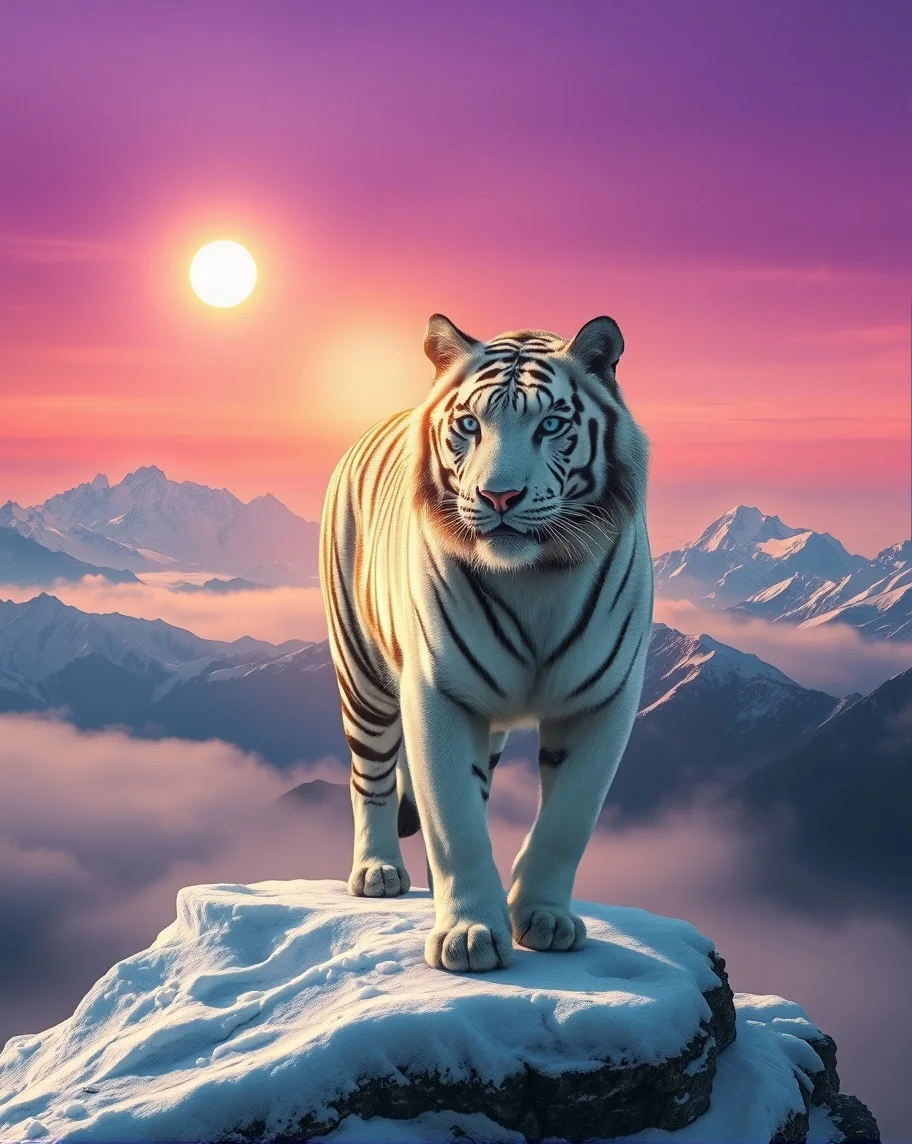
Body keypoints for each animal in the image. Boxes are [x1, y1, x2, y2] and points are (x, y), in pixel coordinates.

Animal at [319, 313, 654, 973]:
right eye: (470, 425)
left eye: (551, 425)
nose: (500, 497)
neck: (537, 577)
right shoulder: (439, 693)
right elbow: (455, 820)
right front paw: (469, 934)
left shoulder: (604, 700)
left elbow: (568, 818)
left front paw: (544, 918)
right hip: (363, 677)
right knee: (371, 776)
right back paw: (378, 872)